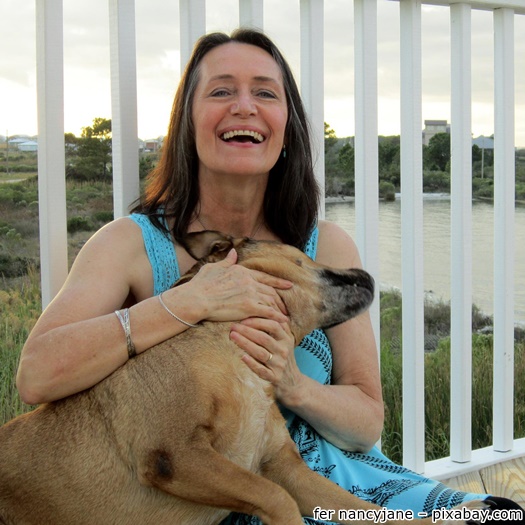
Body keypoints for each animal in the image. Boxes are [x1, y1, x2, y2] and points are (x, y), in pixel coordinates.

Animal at [0, 233, 484, 524]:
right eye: (303, 254)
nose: (365, 270)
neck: (230, 351)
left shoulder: (285, 467)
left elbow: (367, 508)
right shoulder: (177, 453)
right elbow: (278, 500)